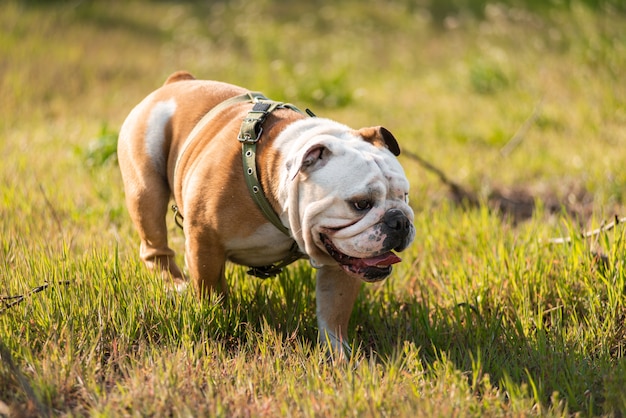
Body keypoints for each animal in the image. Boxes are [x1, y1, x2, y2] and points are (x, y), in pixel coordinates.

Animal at [118, 72, 414, 356]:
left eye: (404, 195)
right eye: (361, 203)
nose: (399, 220)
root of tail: (178, 81)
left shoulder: (341, 263)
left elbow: (334, 313)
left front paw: (340, 356)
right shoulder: (205, 242)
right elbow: (211, 291)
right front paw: (216, 319)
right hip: (146, 187)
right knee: (155, 248)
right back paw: (174, 285)